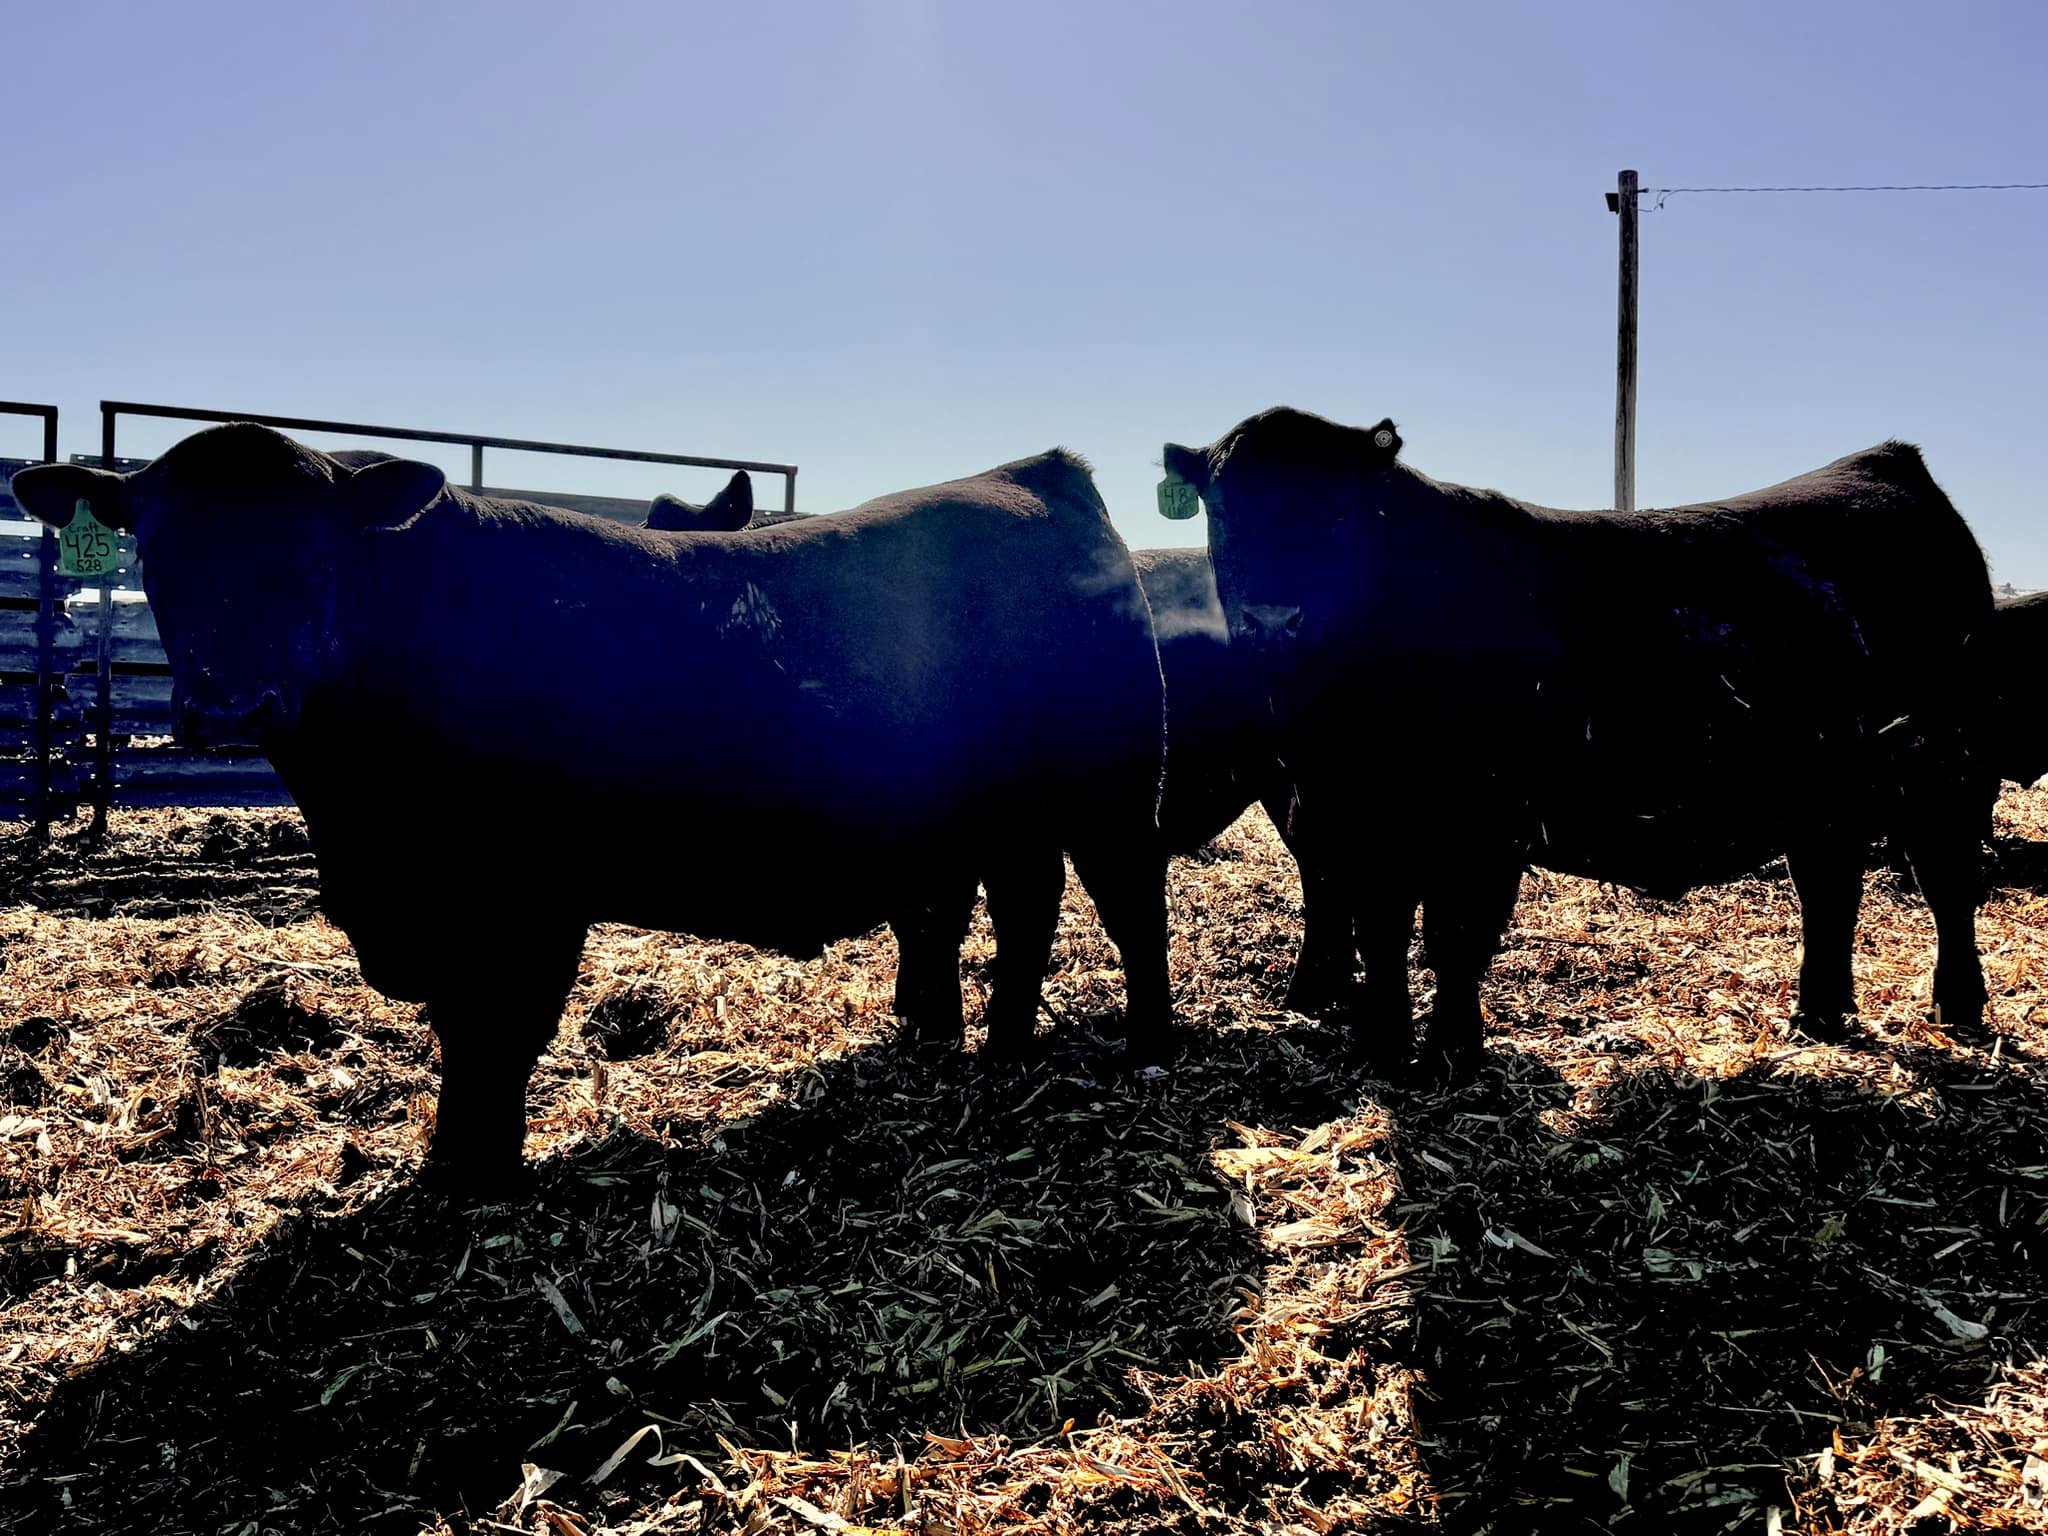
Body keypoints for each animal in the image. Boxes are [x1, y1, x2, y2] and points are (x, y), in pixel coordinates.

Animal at [11, 424, 1172, 1189]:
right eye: (160, 547)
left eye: (308, 551)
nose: (225, 702)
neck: (360, 820)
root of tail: (1038, 477)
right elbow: (462, 1027)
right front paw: (458, 1162)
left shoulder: (527, 895)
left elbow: (496, 1029)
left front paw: (471, 1176)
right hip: (1007, 817)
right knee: (1022, 911)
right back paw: (1003, 1051)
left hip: (1113, 793)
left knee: (1130, 914)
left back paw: (1147, 1050)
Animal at [1160, 406, 1994, 1081]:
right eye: (1222, 511)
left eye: (1336, 511)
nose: (1275, 621)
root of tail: (1884, 462)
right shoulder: (1351, 822)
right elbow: (1382, 934)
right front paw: (1382, 1047)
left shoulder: (1484, 824)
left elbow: (1454, 938)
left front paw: (1451, 1057)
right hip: (1827, 786)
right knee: (1830, 885)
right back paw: (1820, 1015)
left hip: (1943, 769)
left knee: (1947, 882)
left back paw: (1957, 1007)